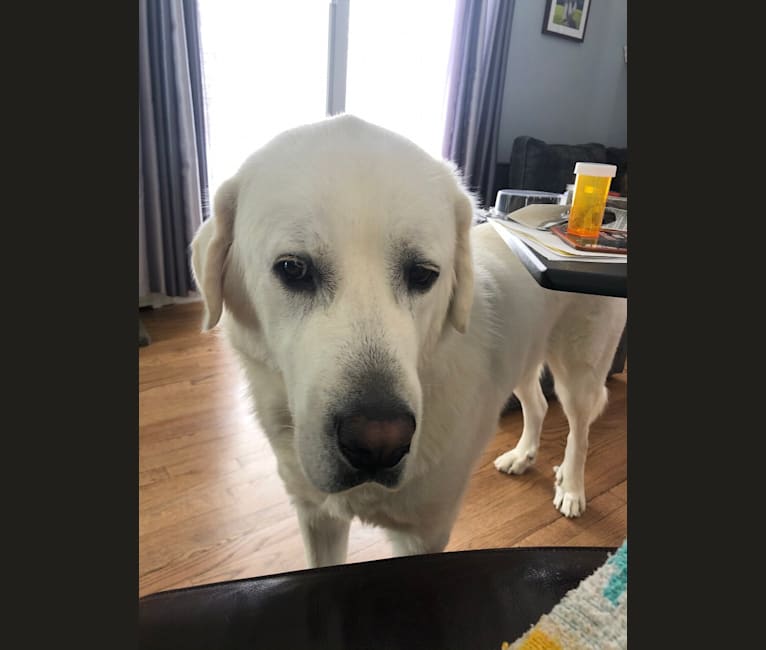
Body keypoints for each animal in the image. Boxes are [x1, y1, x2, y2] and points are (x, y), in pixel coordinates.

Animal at [189, 114, 628, 564]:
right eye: (293, 268)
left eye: (423, 274)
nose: (378, 443)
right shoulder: (317, 517)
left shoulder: (423, 537)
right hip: (525, 358)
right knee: (538, 404)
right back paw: (522, 456)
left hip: (579, 375)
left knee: (580, 430)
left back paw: (571, 488)